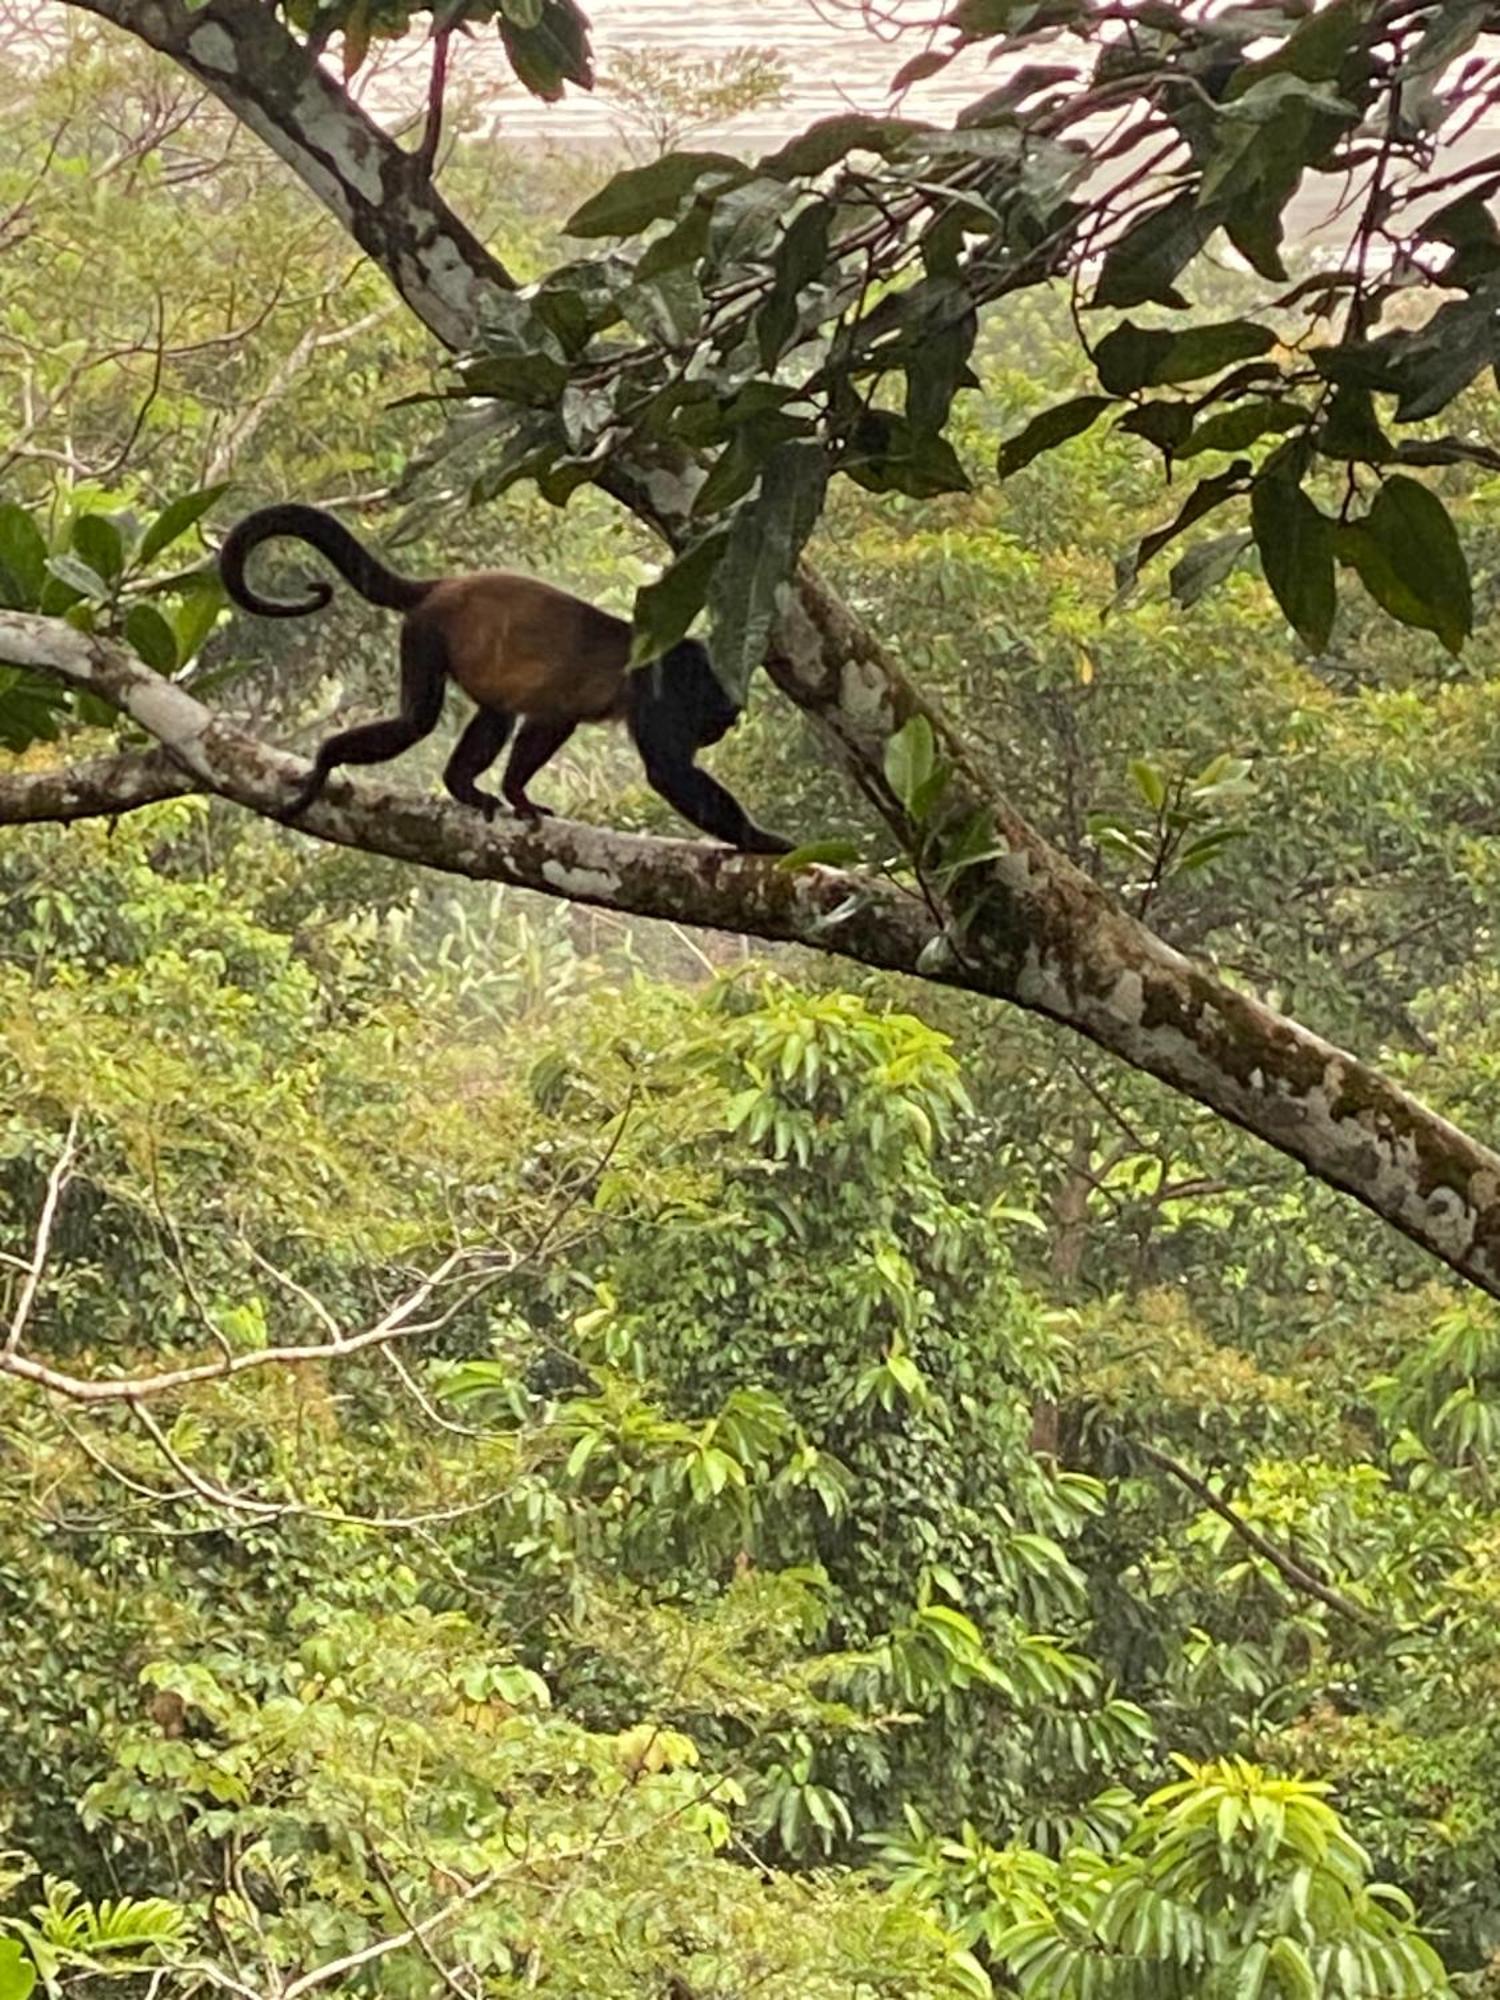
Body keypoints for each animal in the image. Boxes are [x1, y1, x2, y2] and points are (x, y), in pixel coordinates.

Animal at [219, 504, 800, 856]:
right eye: (721, 720)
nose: (719, 732)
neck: (687, 670)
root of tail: (440, 587)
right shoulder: (657, 694)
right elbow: (669, 771)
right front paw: (763, 841)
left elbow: (551, 721)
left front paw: (517, 793)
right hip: (425, 632)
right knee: (416, 721)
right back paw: (328, 758)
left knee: (497, 716)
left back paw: (461, 784)